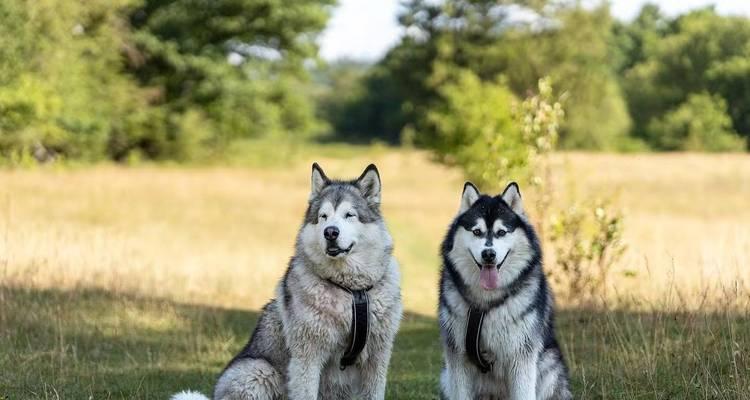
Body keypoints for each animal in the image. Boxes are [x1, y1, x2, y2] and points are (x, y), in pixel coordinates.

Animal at [174, 163, 406, 400]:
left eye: (349, 215)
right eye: (323, 216)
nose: (330, 232)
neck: (351, 290)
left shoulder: (377, 357)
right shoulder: (307, 356)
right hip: (258, 371)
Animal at [438, 182, 572, 400]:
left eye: (501, 232)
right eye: (476, 232)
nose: (488, 254)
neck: (485, 303)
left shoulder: (521, 355)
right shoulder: (457, 355)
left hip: (550, 365)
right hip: (446, 376)